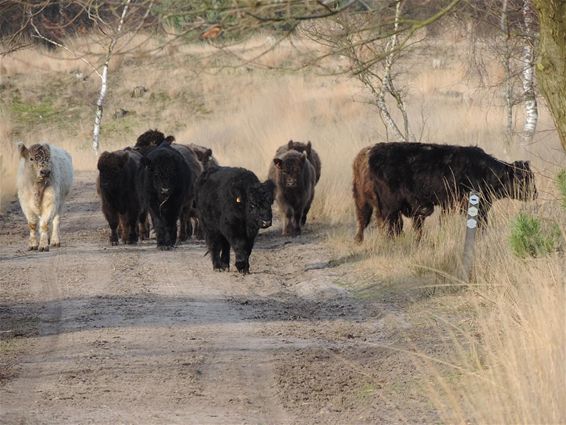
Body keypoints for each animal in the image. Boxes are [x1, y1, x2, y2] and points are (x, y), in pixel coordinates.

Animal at [352, 142, 540, 242]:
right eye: (522, 179)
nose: (535, 194)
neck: (482, 170)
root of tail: (369, 152)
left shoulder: (449, 205)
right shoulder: (465, 204)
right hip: (387, 207)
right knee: (386, 224)